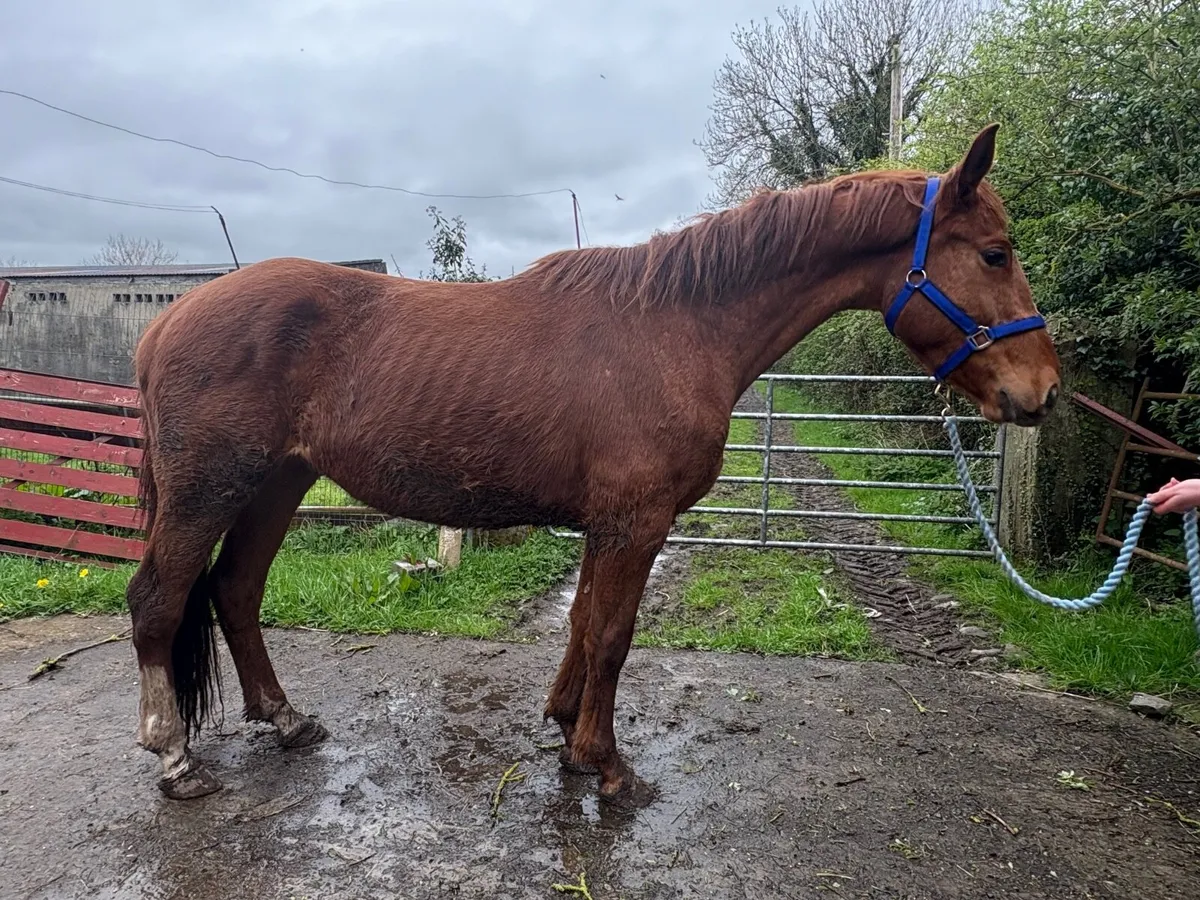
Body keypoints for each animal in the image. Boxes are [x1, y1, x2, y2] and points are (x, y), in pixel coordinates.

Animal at [125, 124, 1060, 805]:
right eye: (995, 252)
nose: (1044, 391)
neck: (677, 328)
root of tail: (167, 321)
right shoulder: (634, 525)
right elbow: (611, 635)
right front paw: (607, 766)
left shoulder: (604, 526)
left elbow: (580, 623)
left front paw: (565, 726)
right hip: (210, 489)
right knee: (159, 601)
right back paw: (174, 759)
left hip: (275, 485)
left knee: (236, 592)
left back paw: (286, 722)